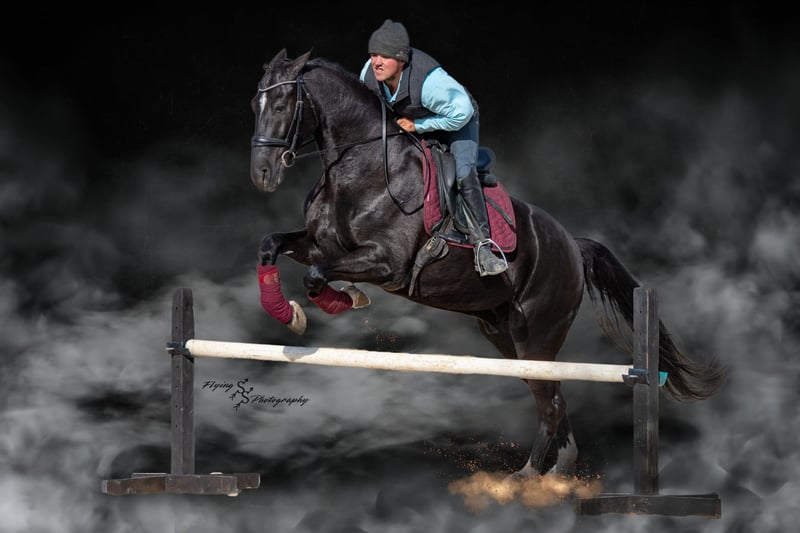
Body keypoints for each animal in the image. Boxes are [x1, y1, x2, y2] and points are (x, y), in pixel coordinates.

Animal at [249, 49, 725, 479]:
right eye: (255, 106)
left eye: (281, 105)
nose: (261, 175)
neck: (358, 166)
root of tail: (573, 246)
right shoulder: (318, 245)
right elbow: (273, 246)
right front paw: (292, 312)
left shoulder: (388, 264)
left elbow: (317, 276)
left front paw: (339, 300)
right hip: (504, 335)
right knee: (551, 393)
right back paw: (560, 469)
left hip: (538, 331)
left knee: (549, 400)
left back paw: (528, 477)